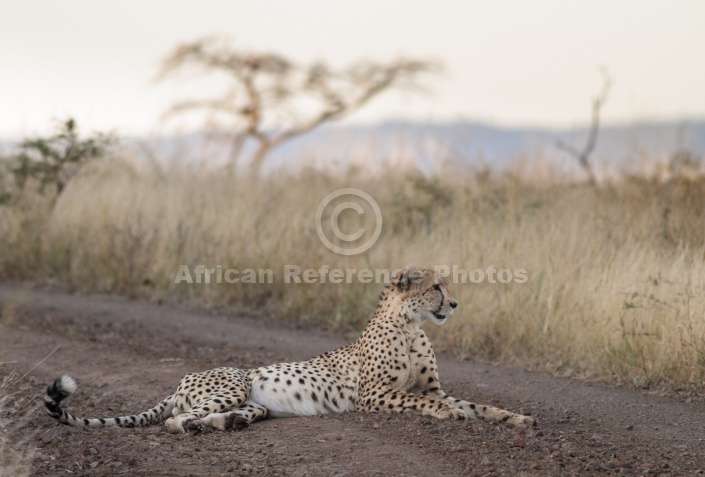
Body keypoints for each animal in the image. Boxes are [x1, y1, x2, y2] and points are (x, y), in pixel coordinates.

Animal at [44, 266, 536, 434]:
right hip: (234, 381)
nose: (454, 304)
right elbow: (425, 402)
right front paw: (450, 416)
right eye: (436, 287)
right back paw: (204, 427)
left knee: (217, 415)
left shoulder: (433, 388)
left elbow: (478, 404)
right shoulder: (374, 396)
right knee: (176, 421)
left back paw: (233, 423)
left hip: (252, 400)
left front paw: (519, 418)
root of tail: (182, 378)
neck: (412, 326)